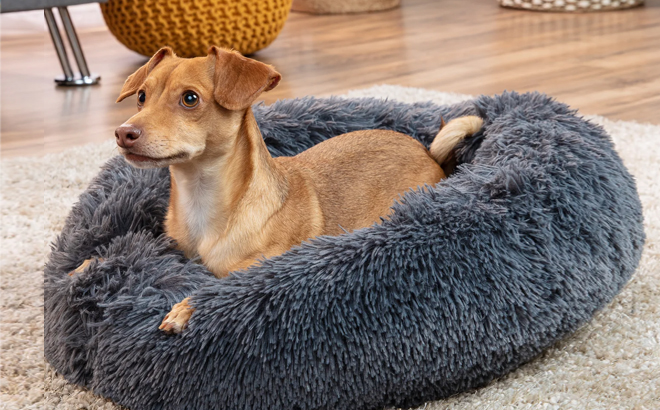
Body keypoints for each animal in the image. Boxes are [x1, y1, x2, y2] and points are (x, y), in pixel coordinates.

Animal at [72, 46, 482, 334]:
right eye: (141, 96)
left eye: (190, 98)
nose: (123, 132)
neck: (201, 199)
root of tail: (427, 152)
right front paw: (89, 264)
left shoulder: (261, 265)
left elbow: (223, 282)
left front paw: (185, 308)